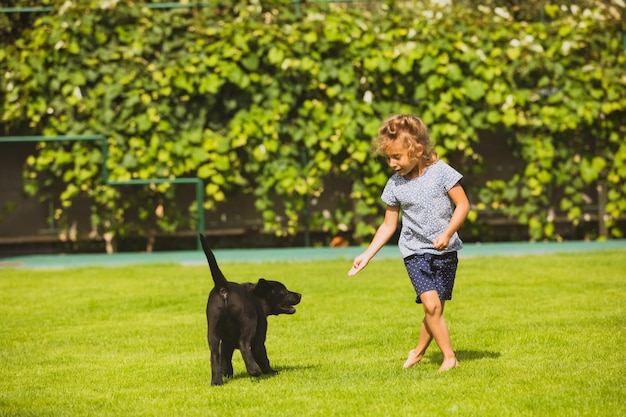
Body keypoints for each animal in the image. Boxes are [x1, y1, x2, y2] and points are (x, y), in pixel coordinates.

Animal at [197, 232, 300, 386]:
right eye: (284, 292)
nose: (299, 295)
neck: (256, 297)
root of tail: (223, 287)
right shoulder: (260, 336)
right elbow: (262, 355)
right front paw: (270, 372)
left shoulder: (226, 342)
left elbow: (225, 358)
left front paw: (226, 374)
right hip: (248, 323)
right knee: (244, 344)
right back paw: (254, 371)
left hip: (212, 331)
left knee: (214, 354)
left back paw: (216, 381)